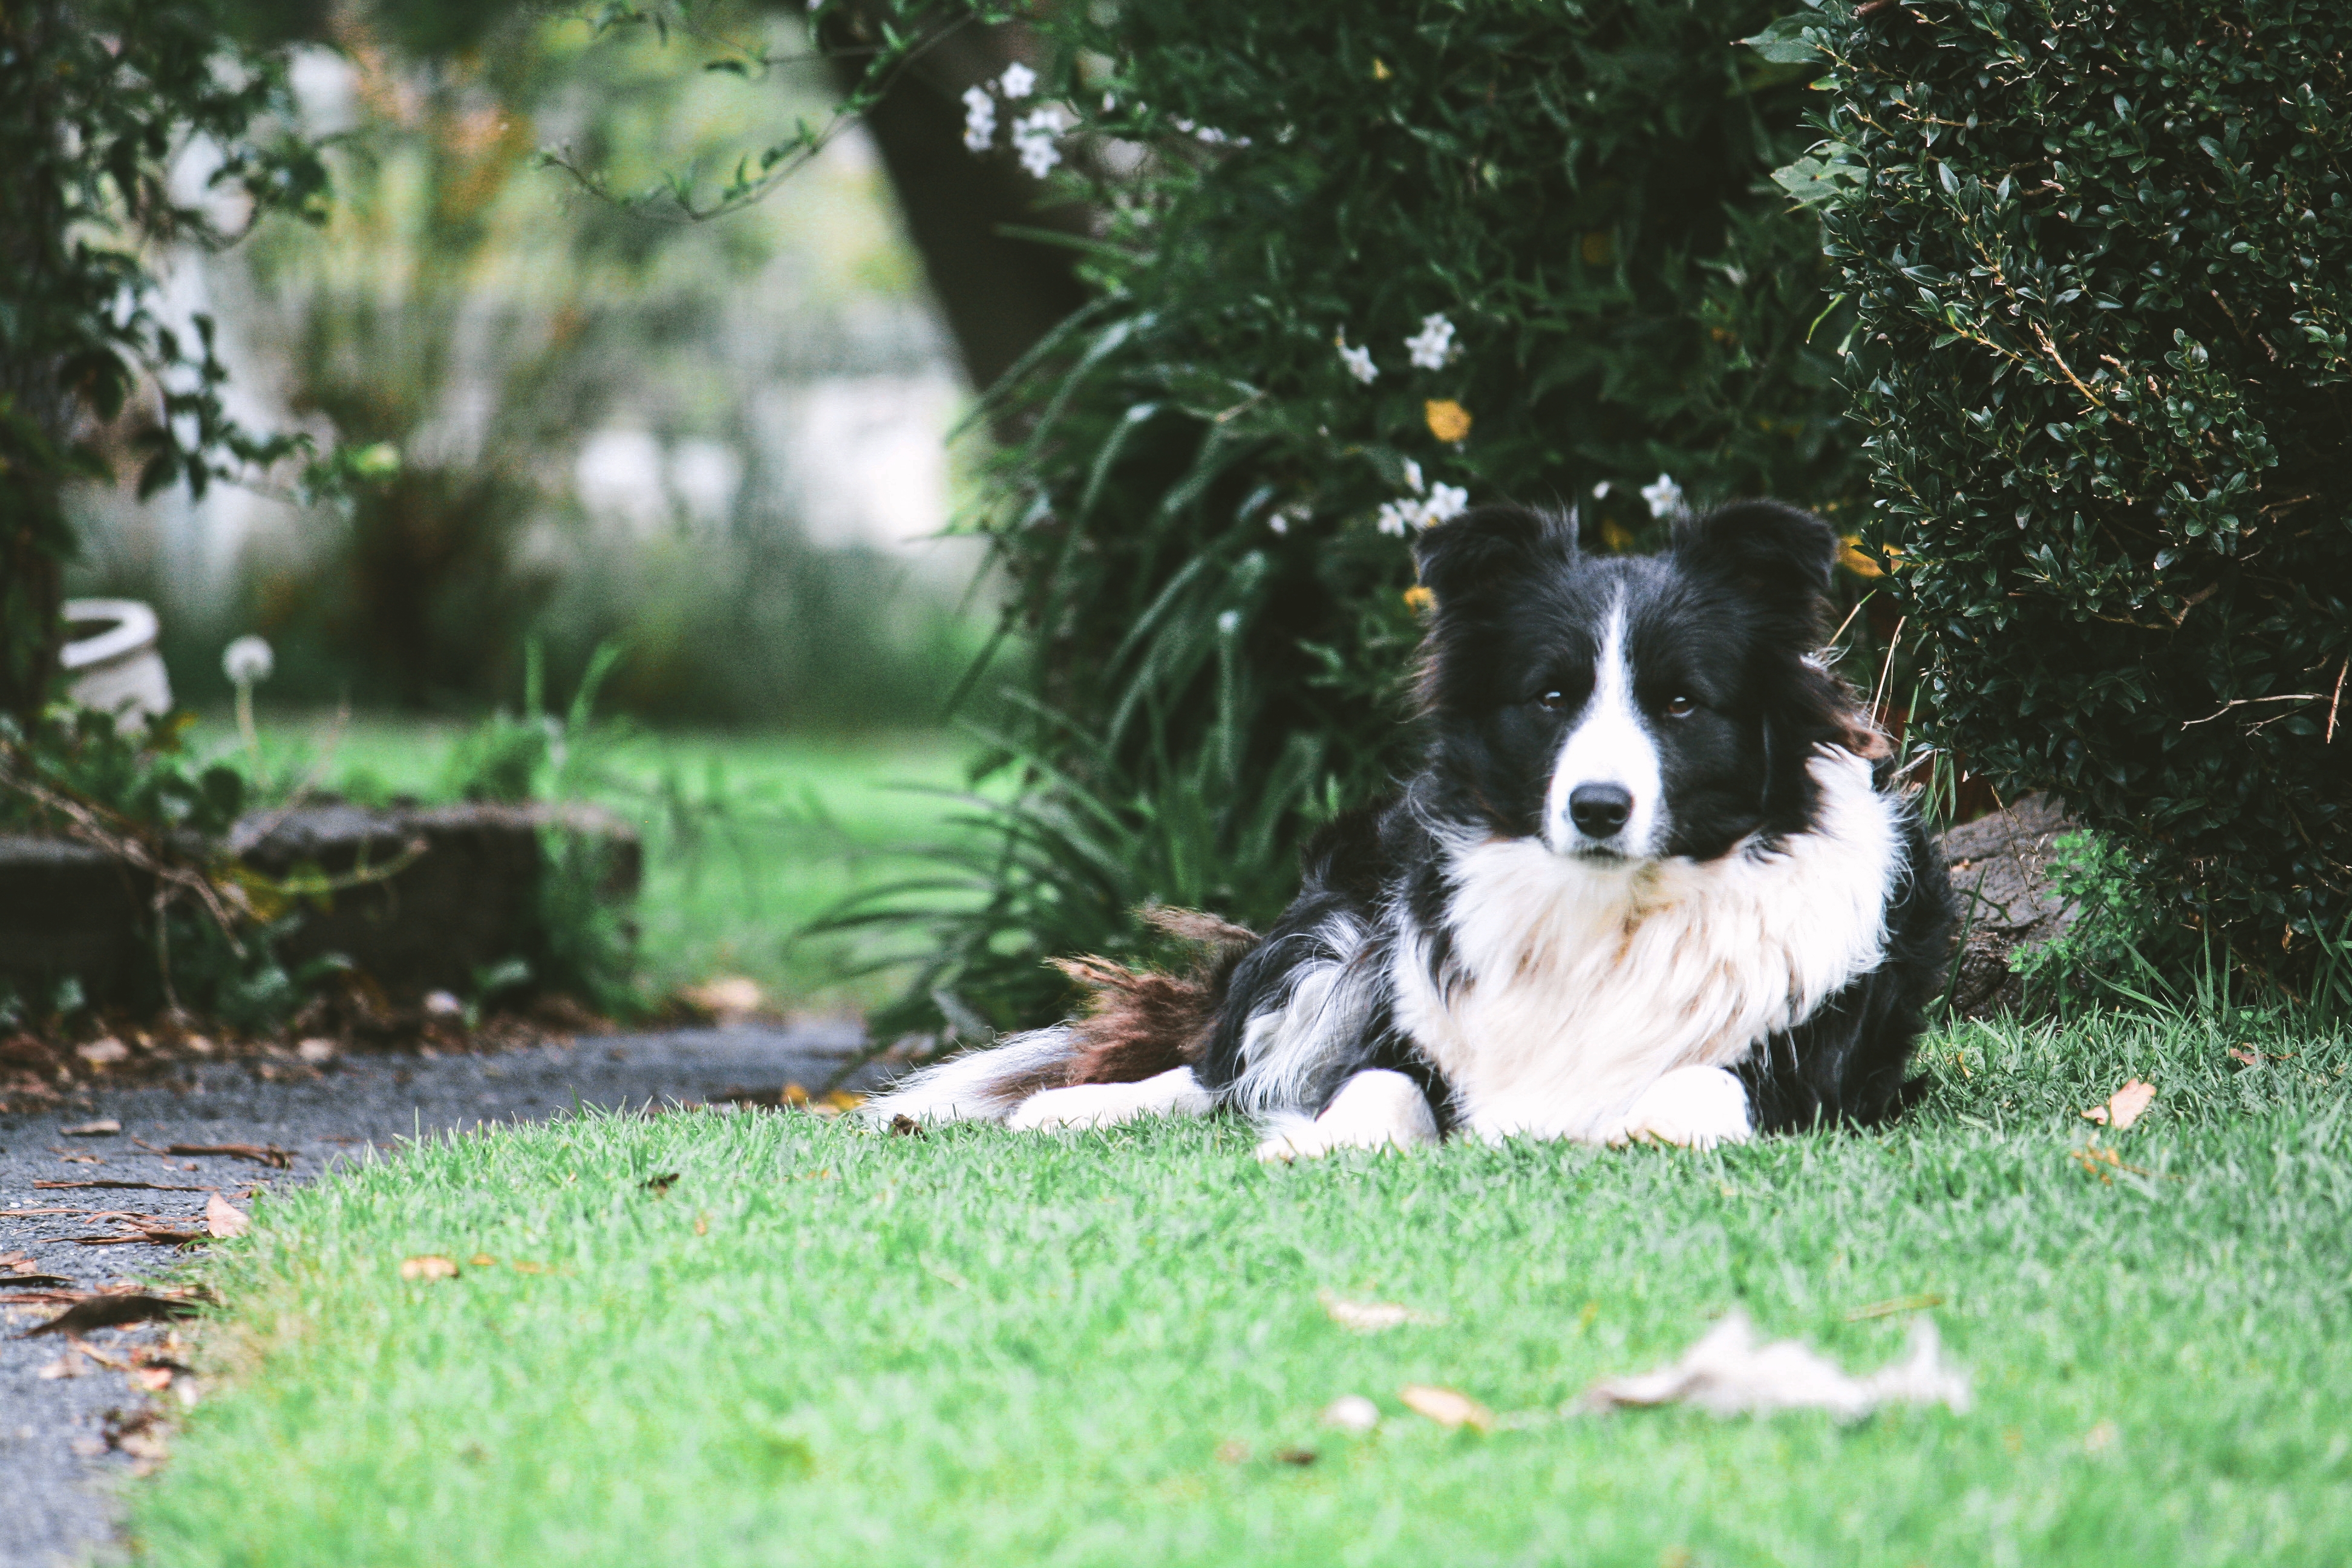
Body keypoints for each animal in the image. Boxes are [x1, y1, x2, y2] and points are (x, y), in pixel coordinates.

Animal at [865, 505, 1947, 1166]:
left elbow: (1706, 1085)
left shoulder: (1824, 1073)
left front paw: (1649, 1127)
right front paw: (1321, 1141)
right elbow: (1374, 1080)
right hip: (1346, 928)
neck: (1609, 911)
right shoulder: (1406, 1017)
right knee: (1221, 1071)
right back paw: (1069, 1106)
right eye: (1551, 696)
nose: (1598, 808)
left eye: (1681, 703)